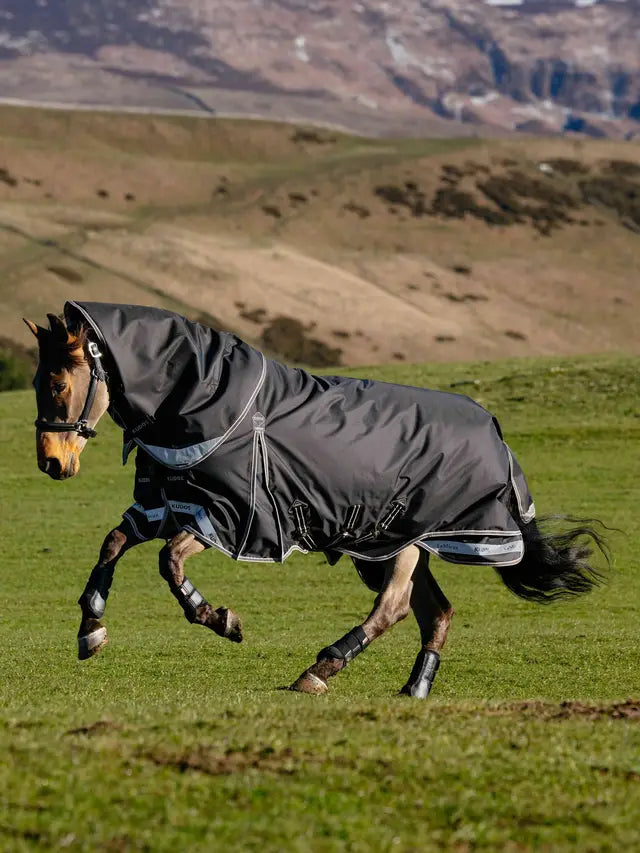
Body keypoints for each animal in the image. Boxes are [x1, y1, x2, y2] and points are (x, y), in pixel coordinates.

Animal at [24, 302, 608, 698]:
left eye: (58, 383)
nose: (51, 461)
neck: (203, 401)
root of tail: (496, 434)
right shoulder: (173, 506)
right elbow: (113, 542)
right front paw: (91, 631)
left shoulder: (229, 517)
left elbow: (169, 565)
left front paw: (220, 618)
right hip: (392, 544)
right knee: (435, 613)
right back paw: (414, 688)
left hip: (405, 542)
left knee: (393, 608)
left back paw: (319, 670)